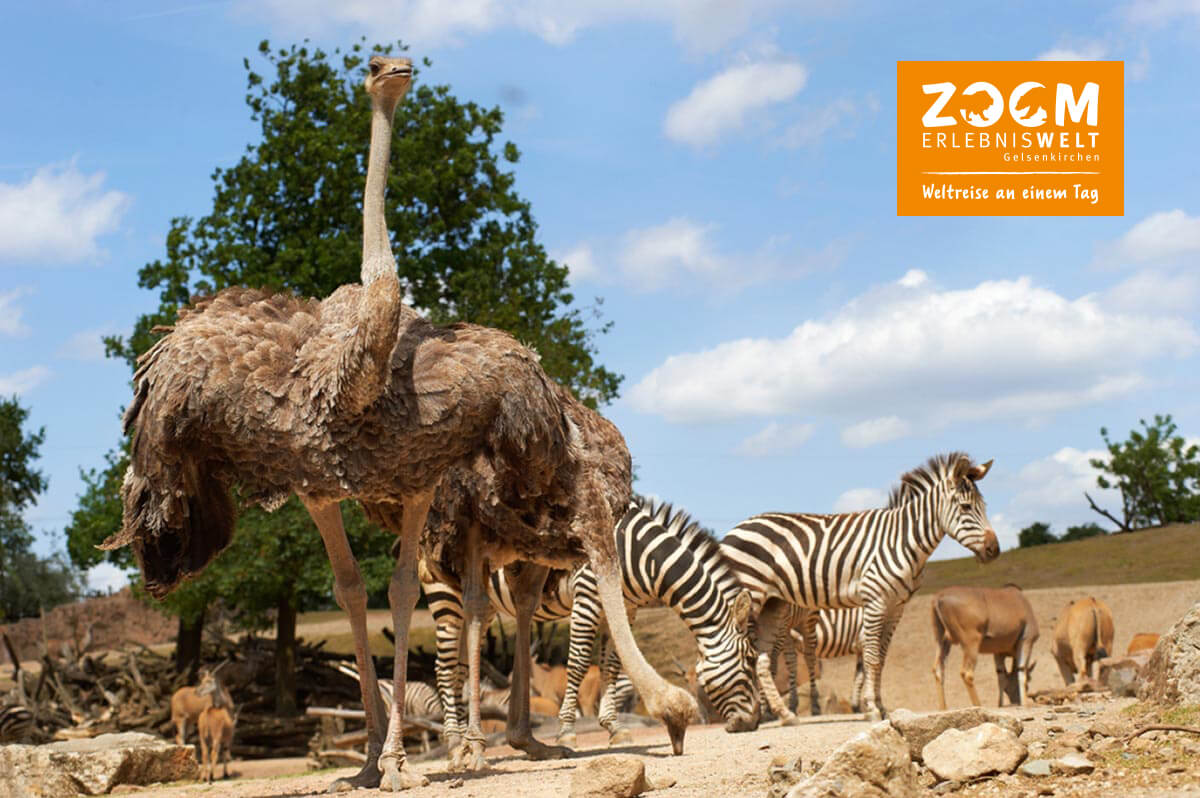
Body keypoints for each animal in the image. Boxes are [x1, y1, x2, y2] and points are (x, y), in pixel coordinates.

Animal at [721, 452, 998, 720]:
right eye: (965, 507)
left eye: (984, 507)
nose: (994, 550)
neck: (903, 541)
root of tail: (735, 529)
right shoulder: (875, 601)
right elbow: (872, 659)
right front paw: (872, 708)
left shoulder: (896, 607)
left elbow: (881, 660)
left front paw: (882, 707)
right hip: (750, 596)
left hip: (773, 605)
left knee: (763, 659)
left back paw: (783, 714)